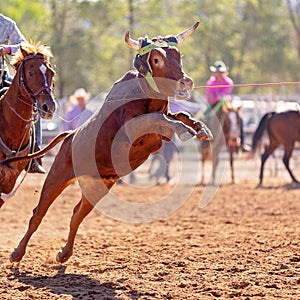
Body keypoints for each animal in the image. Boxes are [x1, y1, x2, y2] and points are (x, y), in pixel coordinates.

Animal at [7, 22, 213, 264]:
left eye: (177, 55)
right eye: (156, 59)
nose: (185, 82)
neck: (142, 93)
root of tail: (69, 136)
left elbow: (177, 114)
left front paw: (201, 128)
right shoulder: (133, 130)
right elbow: (160, 118)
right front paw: (185, 130)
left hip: (97, 187)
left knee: (76, 215)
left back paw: (64, 253)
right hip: (57, 176)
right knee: (38, 214)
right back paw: (17, 253)